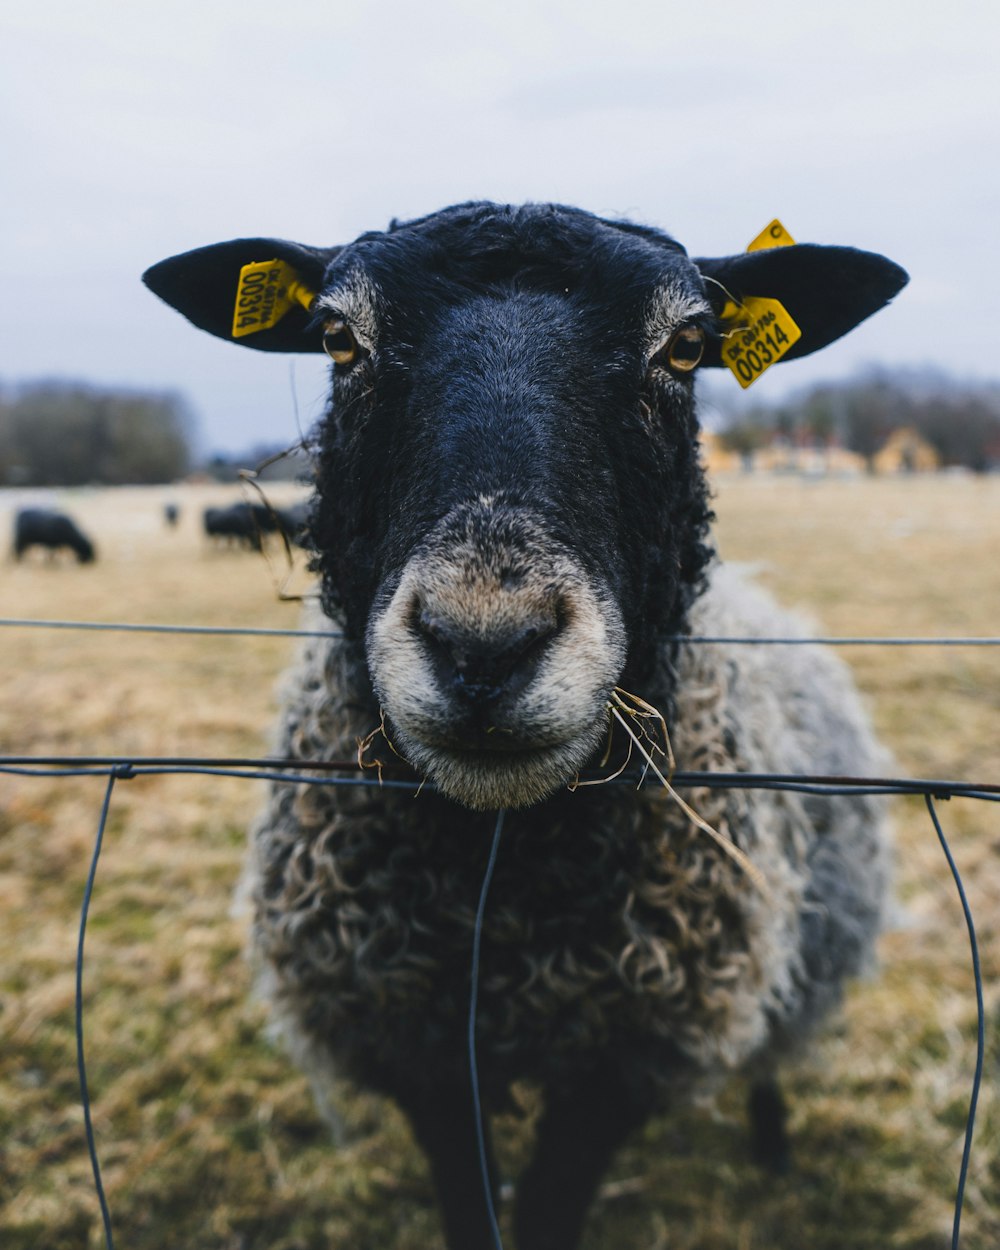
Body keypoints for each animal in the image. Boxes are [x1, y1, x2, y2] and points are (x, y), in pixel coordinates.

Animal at [146, 205, 905, 1250]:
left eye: (687, 346)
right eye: (338, 338)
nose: (483, 645)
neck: (507, 895)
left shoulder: (619, 1058)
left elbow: (550, 1203)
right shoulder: (423, 1050)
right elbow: (471, 1199)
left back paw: (773, 1146)